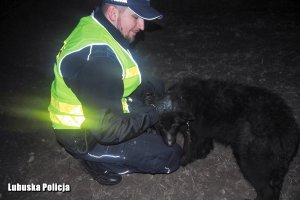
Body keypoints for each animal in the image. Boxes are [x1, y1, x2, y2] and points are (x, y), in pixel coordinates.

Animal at [156, 77, 298, 200]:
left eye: (174, 125)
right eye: (161, 126)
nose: (169, 143)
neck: (185, 99)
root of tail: (288, 131)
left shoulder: (193, 133)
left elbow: (188, 150)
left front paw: (182, 161)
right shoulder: (203, 131)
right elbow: (205, 144)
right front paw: (202, 154)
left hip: (249, 161)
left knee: (266, 191)